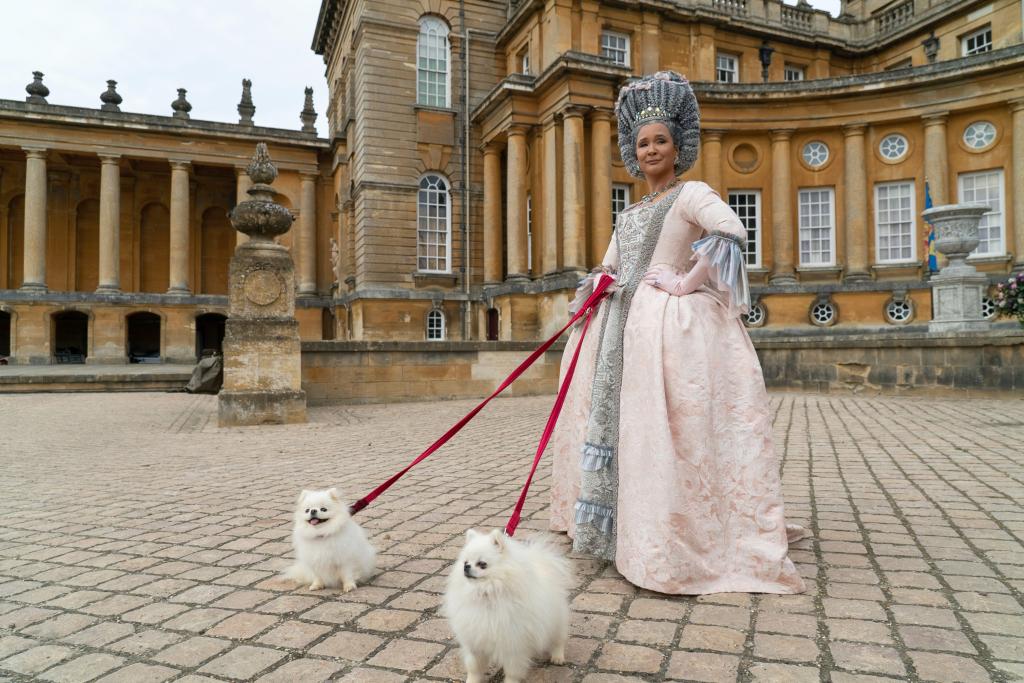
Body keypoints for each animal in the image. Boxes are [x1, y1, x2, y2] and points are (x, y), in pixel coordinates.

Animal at [442, 528, 573, 683]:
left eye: (482, 564)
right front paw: (472, 680)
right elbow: (474, 667)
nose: (466, 567)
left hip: (556, 622)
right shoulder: (475, 640)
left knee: (559, 639)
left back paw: (558, 657)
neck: (486, 593)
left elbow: (512, 671)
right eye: (465, 562)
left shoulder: (513, 644)